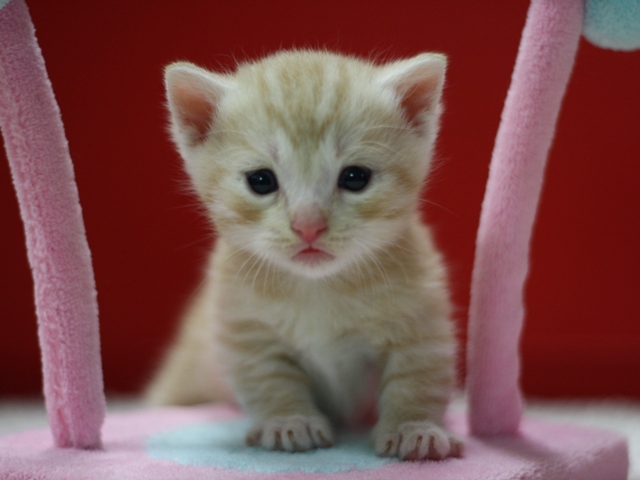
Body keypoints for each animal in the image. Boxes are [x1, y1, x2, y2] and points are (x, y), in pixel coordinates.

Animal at [148, 49, 462, 462]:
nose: (308, 226)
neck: (319, 287)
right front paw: (288, 422)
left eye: (355, 177)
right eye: (261, 181)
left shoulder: (421, 320)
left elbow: (417, 377)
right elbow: (269, 378)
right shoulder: (245, 328)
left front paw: (414, 427)